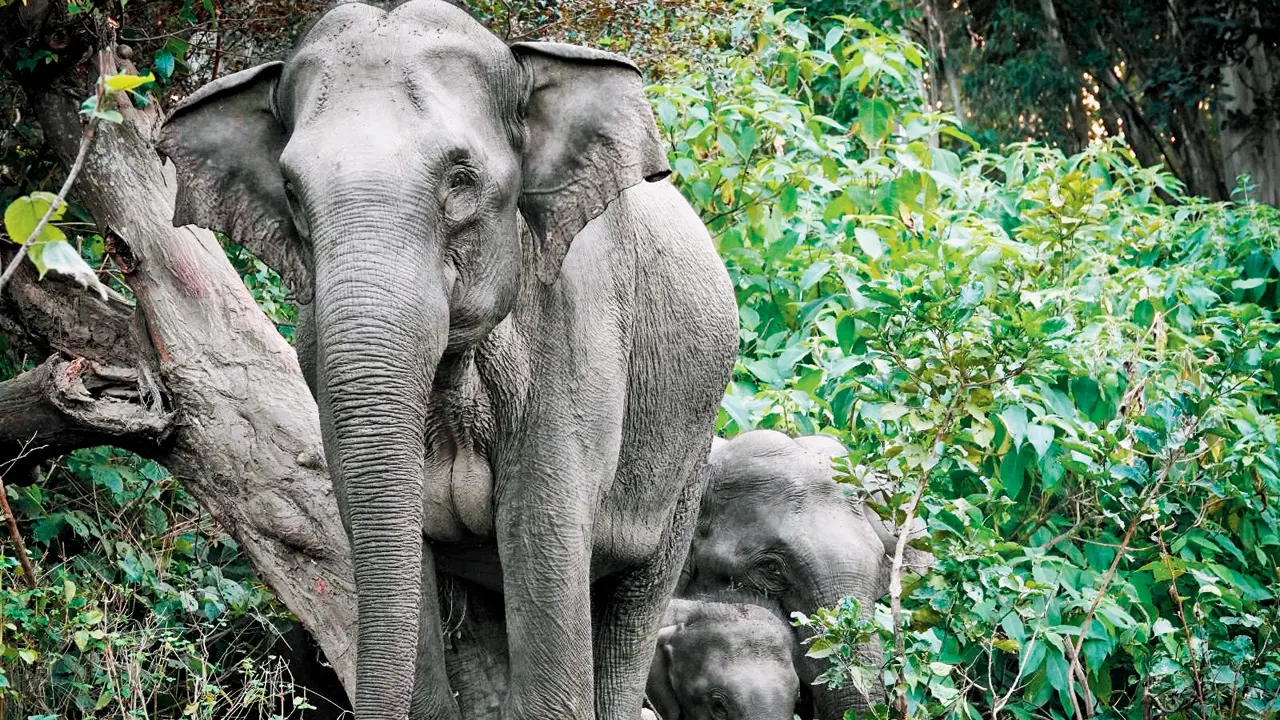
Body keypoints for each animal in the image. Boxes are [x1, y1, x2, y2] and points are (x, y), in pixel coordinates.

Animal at [155, 2, 739, 720]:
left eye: (461, 181)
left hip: (690, 448)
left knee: (634, 606)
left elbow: (541, 537)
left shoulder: (576, 332)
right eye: (291, 192)